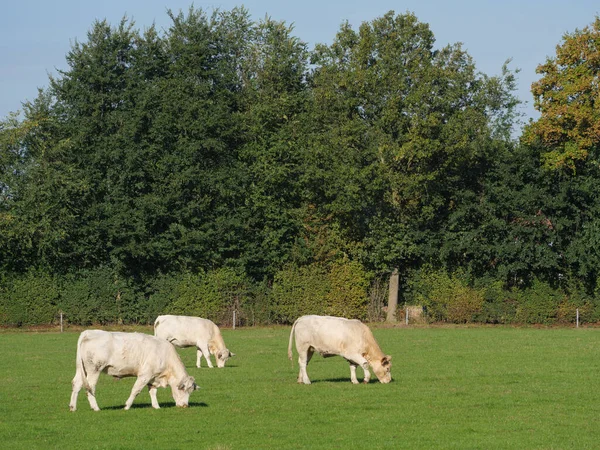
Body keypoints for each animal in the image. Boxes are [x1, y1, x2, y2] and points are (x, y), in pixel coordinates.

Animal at [68, 328, 199, 410]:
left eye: (191, 391)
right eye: (183, 389)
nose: (185, 406)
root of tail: (88, 332)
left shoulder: (152, 377)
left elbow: (153, 391)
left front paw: (156, 406)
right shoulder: (144, 375)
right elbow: (135, 390)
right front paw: (127, 406)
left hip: (82, 370)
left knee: (77, 384)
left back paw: (73, 407)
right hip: (94, 370)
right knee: (90, 387)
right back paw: (95, 408)